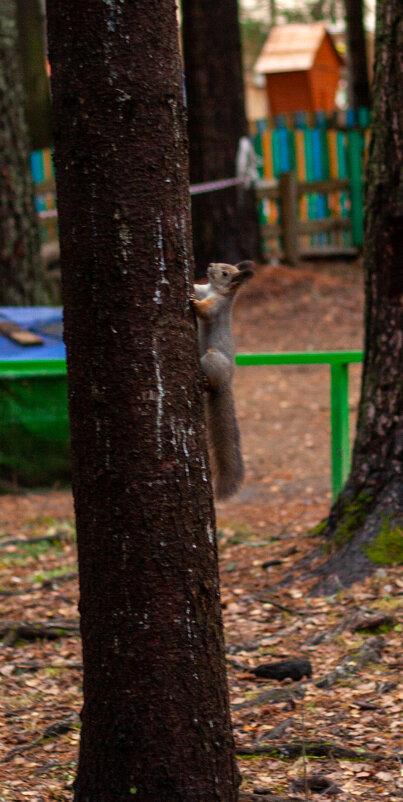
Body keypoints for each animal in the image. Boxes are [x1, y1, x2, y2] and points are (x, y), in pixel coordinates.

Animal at [191, 262, 254, 496]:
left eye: (225, 273)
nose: (210, 265)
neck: (214, 290)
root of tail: (226, 382)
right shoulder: (203, 289)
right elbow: (196, 287)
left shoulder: (217, 306)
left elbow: (206, 311)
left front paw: (194, 303)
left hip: (212, 359)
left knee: (211, 382)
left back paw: (205, 381)